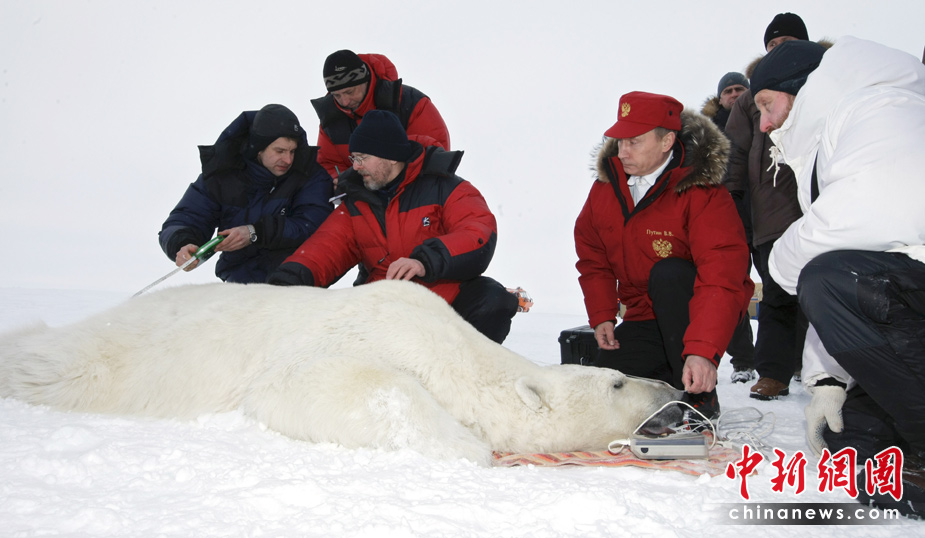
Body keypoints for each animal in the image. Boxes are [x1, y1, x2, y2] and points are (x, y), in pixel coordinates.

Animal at [0, 280, 681, 466]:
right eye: (618, 382)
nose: (674, 389)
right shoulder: (359, 335)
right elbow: (316, 385)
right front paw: (467, 446)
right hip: (99, 360)